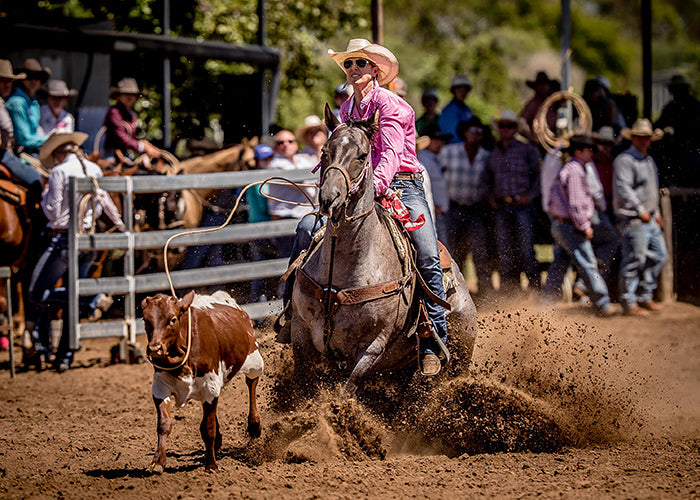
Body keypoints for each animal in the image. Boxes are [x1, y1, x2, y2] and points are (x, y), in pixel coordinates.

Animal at [141, 290, 264, 472]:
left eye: (173, 319)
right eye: (145, 320)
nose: (155, 349)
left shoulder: (210, 386)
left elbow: (208, 428)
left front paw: (211, 464)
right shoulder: (160, 386)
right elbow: (164, 424)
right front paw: (157, 462)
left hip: (254, 359)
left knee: (252, 383)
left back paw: (254, 425)